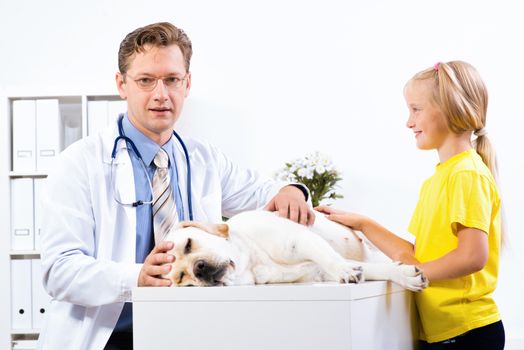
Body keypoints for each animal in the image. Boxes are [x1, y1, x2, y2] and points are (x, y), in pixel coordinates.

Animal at [162, 209, 428, 292]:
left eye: (189, 244)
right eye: (182, 278)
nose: (199, 269)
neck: (253, 262)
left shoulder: (300, 240)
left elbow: (331, 259)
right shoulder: (320, 274)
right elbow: (370, 269)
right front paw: (404, 275)